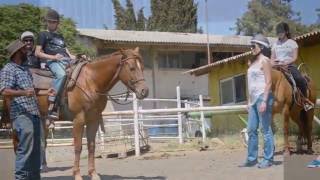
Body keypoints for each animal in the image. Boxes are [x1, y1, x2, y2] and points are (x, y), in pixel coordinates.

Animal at [0, 47, 148, 179]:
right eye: (132, 68)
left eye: (142, 67)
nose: (144, 91)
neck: (91, 82)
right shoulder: (78, 120)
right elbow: (78, 147)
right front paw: (77, 175)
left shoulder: (93, 120)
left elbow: (91, 146)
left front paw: (93, 174)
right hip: (16, 121)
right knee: (17, 144)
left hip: (41, 119)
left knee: (40, 143)